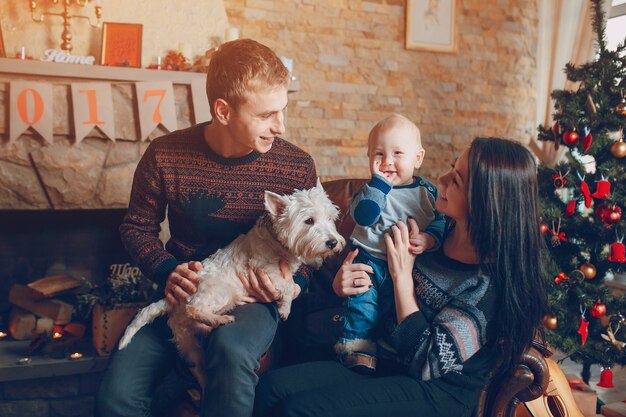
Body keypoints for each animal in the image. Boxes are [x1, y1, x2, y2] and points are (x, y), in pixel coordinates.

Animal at [119, 180, 344, 388]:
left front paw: (316, 261)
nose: (333, 242)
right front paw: (284, 309)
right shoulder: (265, 272)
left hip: (188, 342)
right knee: (195, 307)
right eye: (309, 221)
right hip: (221, 291)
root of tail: (172, 302)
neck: (277, 242)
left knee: (198, 364)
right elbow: (287, 287)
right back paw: (220, 320)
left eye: (330, 218)